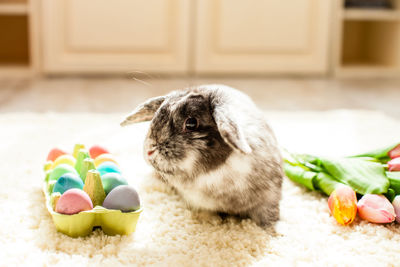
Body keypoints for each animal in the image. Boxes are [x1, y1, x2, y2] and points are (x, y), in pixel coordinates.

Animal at [120, 85, 282, 227]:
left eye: (191, 123)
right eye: (157, 113)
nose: (149, 151)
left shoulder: (269, 198)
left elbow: (269, 217)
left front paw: (272, 231)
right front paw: (213, 221)